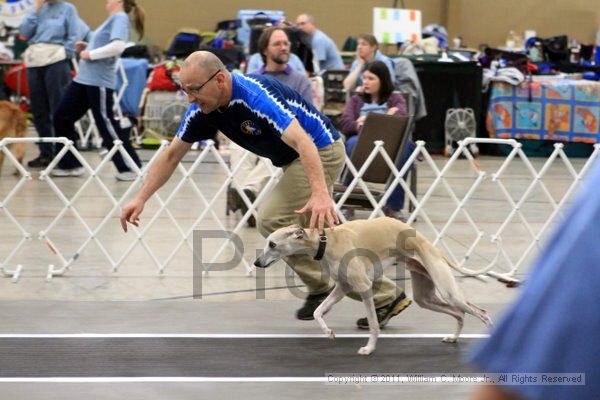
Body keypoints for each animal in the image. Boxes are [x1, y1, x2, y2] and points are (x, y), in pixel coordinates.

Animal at [253, 217, 492, 354]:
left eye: (272, 244)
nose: (256, 263)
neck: (326, 242)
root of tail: (430, 245)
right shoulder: (342, 287)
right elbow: (318, 311)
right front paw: (328, 332)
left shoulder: (364, 286)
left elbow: (374, 324)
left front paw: (369, 348)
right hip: (426, 297)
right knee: (459, 313)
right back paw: (454, 337)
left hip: (448, 291)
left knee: (482, 312)